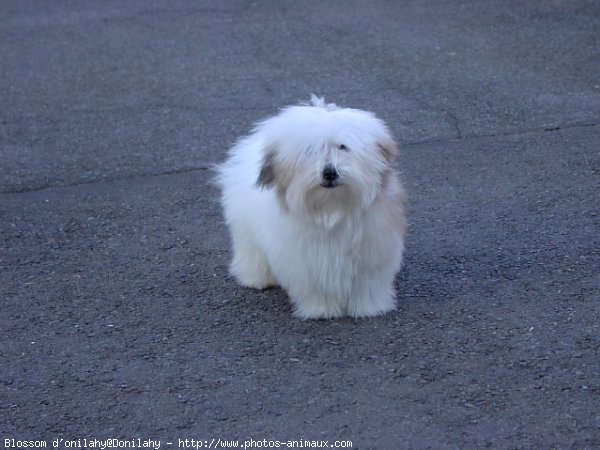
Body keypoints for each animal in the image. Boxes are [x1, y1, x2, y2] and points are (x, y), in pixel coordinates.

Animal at [216, 96, 408, 320]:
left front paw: (368, 308)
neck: (331, 209)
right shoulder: (304, 261)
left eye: (343, 147)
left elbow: (367, 284)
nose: (329, 172)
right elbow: (315, 286)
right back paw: (257, 278)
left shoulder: (372, 253)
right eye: (310, 151)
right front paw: (322, 310)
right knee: (251, 252)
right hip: (245, 230)